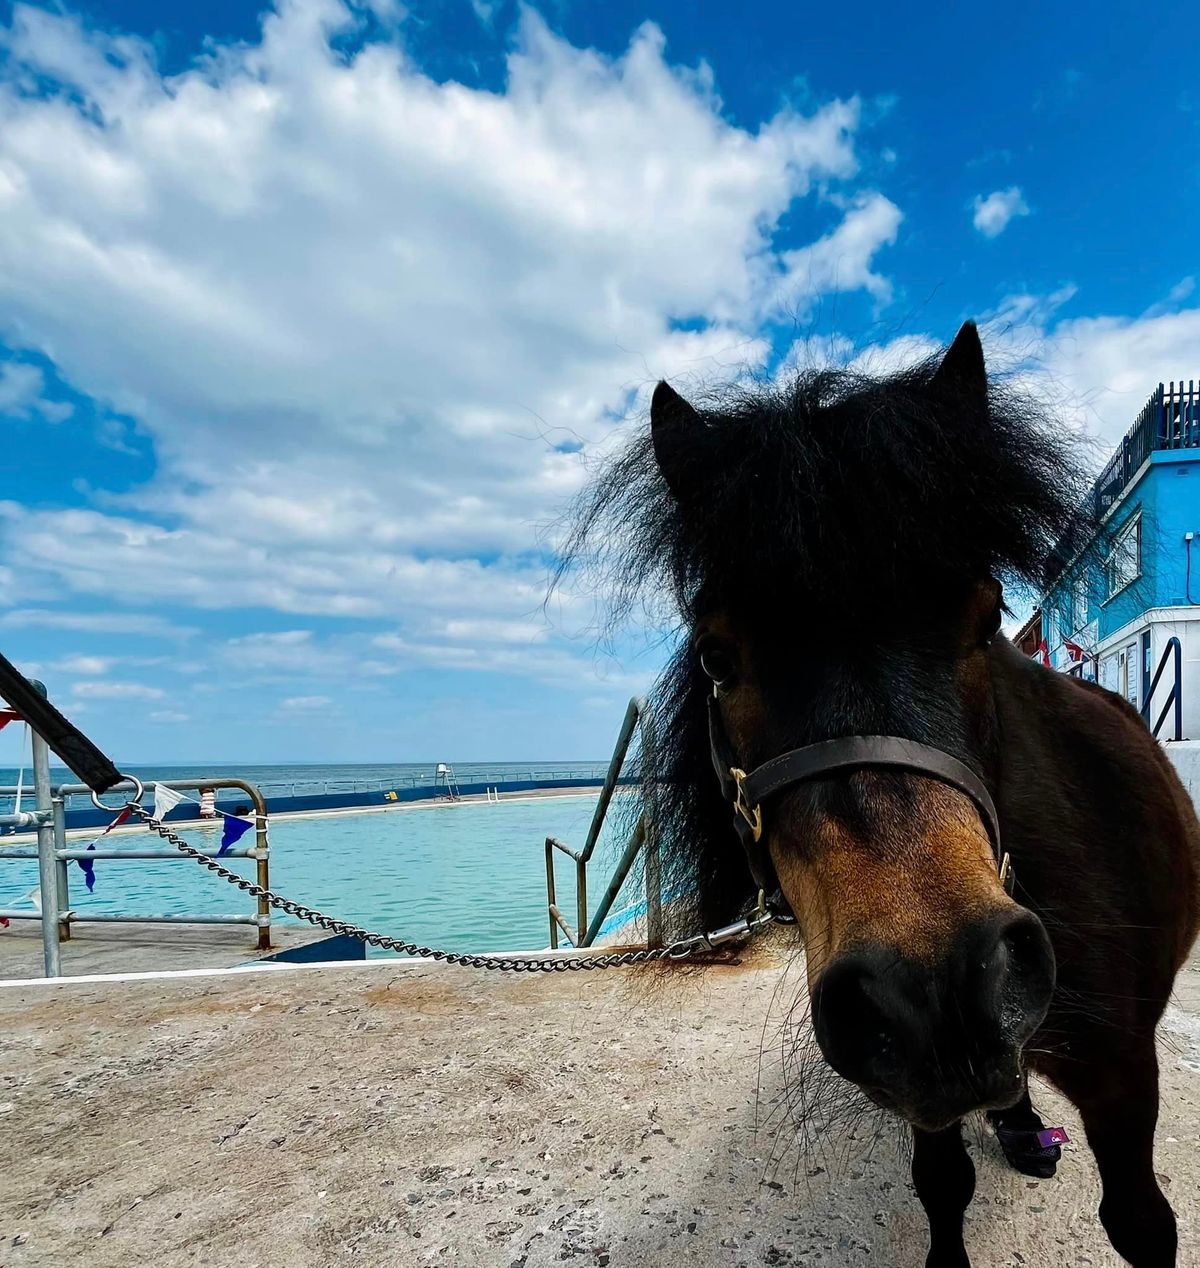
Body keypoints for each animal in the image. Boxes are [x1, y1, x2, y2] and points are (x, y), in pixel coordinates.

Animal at [560, 322, 1197, 1262]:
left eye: (985, 618)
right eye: (717, 657)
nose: (939, 991)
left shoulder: (1124, 1077)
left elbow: (1143, 1223)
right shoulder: (921, 1090)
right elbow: (943, 1187)